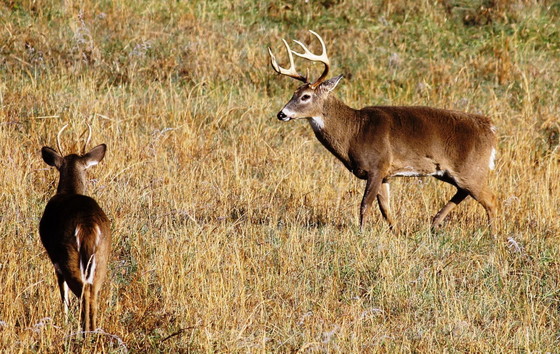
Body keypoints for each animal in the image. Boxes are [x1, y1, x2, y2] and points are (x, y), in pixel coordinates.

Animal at [39, 124, 111, 332]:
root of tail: (87, 226)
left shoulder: (55, 260)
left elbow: (63, 296)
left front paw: (63, 320)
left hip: (68, 256)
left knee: (83, 293)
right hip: (101, 259)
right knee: (93, 293)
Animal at [270, 30, 496, 232]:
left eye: (305, 96)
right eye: (293, 93)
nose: (282, 114)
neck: (354, 132)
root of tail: (490, 128)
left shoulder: (377, 165)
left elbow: (365, 204)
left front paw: (361, 234)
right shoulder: (386, 173)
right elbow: (386, 208)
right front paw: (397, 232)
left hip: (471, 168)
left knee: (491, 201)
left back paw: (492, 236)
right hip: (452, 171)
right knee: (463, 192)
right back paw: (434, 223)